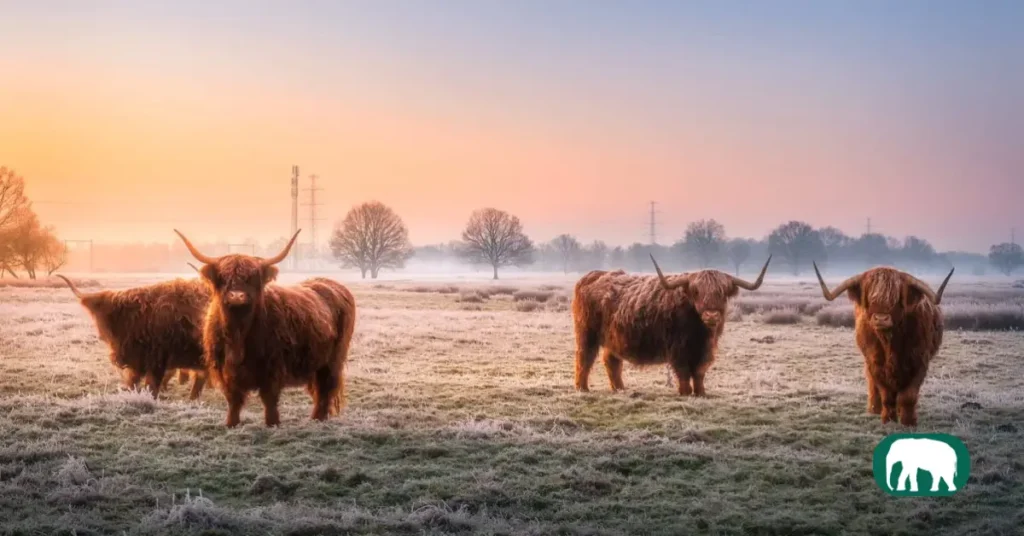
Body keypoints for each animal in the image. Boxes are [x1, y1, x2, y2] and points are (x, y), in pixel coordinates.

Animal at [175, 228, 356, 428]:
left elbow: (269, 398)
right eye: (224, 277)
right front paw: (232, 423)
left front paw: (272, 423)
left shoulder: (273, 367)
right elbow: (233, 399)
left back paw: (318, 418)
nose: (236, 296)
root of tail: (331, 284)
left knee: (326, 387)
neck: (238, 332)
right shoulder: (225, 369)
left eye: (252, 278)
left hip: (334, 358)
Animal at [572, 254, 771, 396]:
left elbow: (699, 372)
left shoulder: (706, 350)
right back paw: (583, 388)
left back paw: (620, 389)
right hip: (587, 333)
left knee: (611, 361)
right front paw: (685, 392)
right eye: (696, 291)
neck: (699, 332)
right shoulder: (678, 348)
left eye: (722, 292)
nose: (711, 315)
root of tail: (594, 275)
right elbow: (683, 371)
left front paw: (701, 393)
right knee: (584, 358)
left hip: (614, 338)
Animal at [812, 263, 953, 427]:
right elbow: (886, 395)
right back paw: (874, 409)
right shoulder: (875, 364)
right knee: (873, 386)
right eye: (870, 296)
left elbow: (908, 396)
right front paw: (888, 419)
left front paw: (908, 421)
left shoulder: (919, 362)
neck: (889, 343)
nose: (881, 319)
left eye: (896, 298)